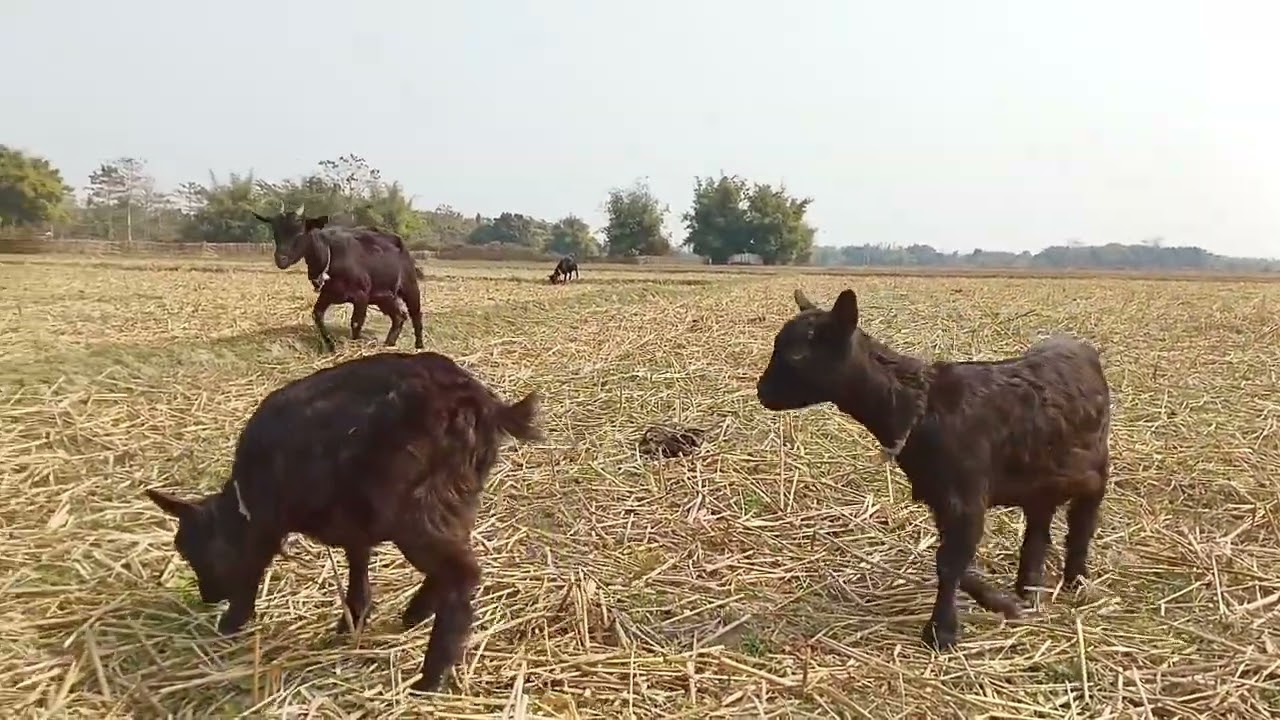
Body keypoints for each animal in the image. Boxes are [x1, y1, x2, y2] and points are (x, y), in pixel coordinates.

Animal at [755, 288, 1110, 651]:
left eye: (797, 354)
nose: (762, 391)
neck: (920, 407)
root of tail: (1079, 347)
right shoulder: (940, 498)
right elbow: (955, 562)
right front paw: (1002, 603)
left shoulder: (966, 496)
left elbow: (950, 564)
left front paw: (942, 632)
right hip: (1042, 477)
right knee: (1039, 528)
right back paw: (1029, 588)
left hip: (1096, 470)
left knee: (1082, 522)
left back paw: (1076, 582)